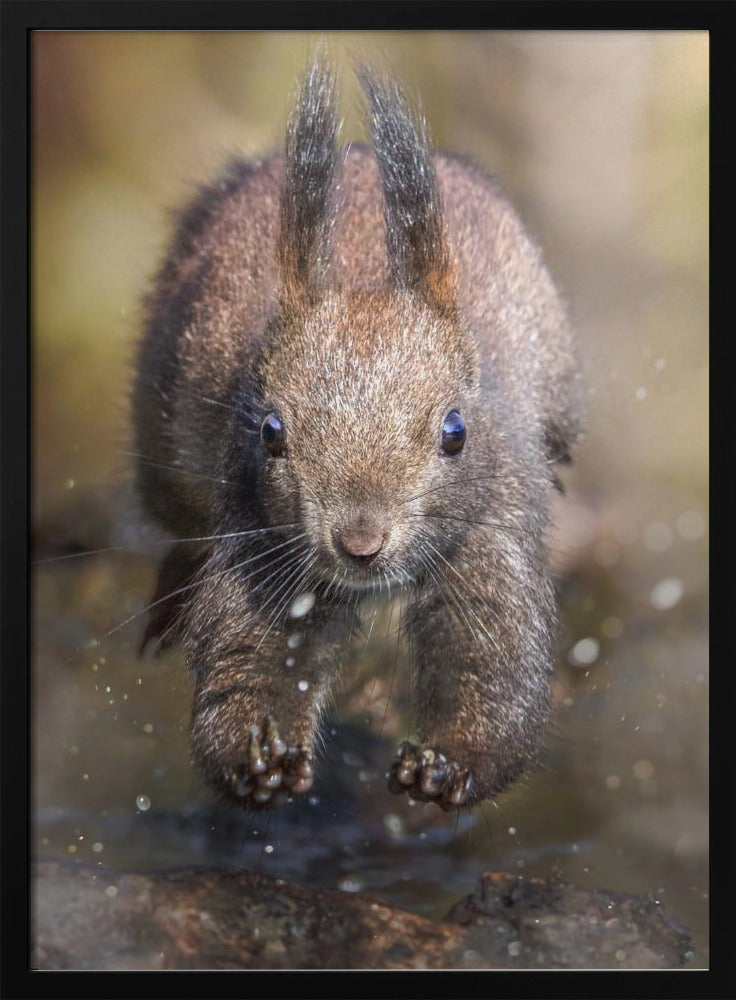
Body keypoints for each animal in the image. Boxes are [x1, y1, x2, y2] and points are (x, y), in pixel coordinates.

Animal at [132, 60, 584, 813]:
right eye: (271, 431)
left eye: (455, 432)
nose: (360, 543)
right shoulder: (260, 537)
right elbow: (251, 653)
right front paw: (259, 758)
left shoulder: (492, 523)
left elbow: (495, 660)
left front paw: (447, 764)